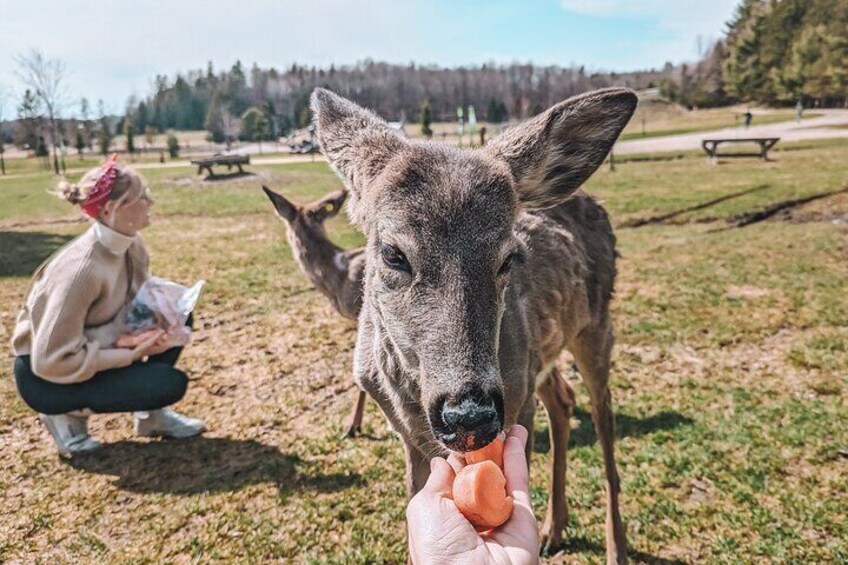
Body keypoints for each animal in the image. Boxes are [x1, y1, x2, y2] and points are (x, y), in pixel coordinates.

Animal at [312, 85, 636, 564]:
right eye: (393, 253)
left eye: (509, 257)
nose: (469, 415)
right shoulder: (407, 432)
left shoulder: (515, 398)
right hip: (541, 354)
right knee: (562, 399)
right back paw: (552, 529)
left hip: (594, 327)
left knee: (603, 417)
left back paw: (615, 546)